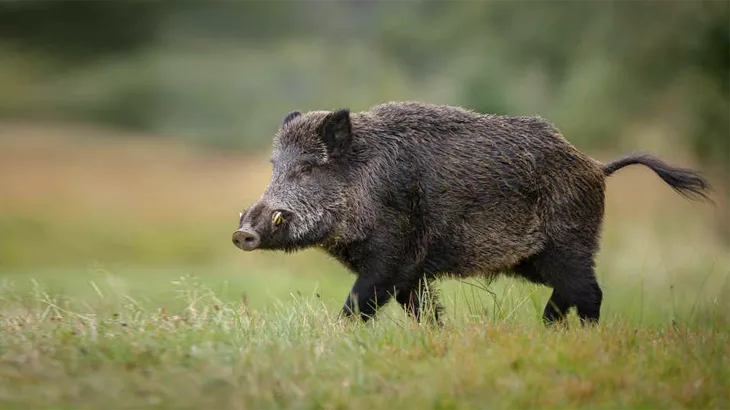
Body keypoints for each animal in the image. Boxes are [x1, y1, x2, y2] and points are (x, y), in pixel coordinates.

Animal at [232, 101, 711, 325]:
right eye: (274, 166)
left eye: (309, 167)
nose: (242, 233)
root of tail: (596, 166)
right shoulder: (413, 271)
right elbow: (422, 310)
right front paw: (438, 338)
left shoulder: (393, 255)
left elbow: (360, 302)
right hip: (537, 259)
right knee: (568, 294)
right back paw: (545, 330)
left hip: (570, 243)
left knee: (589, 293)